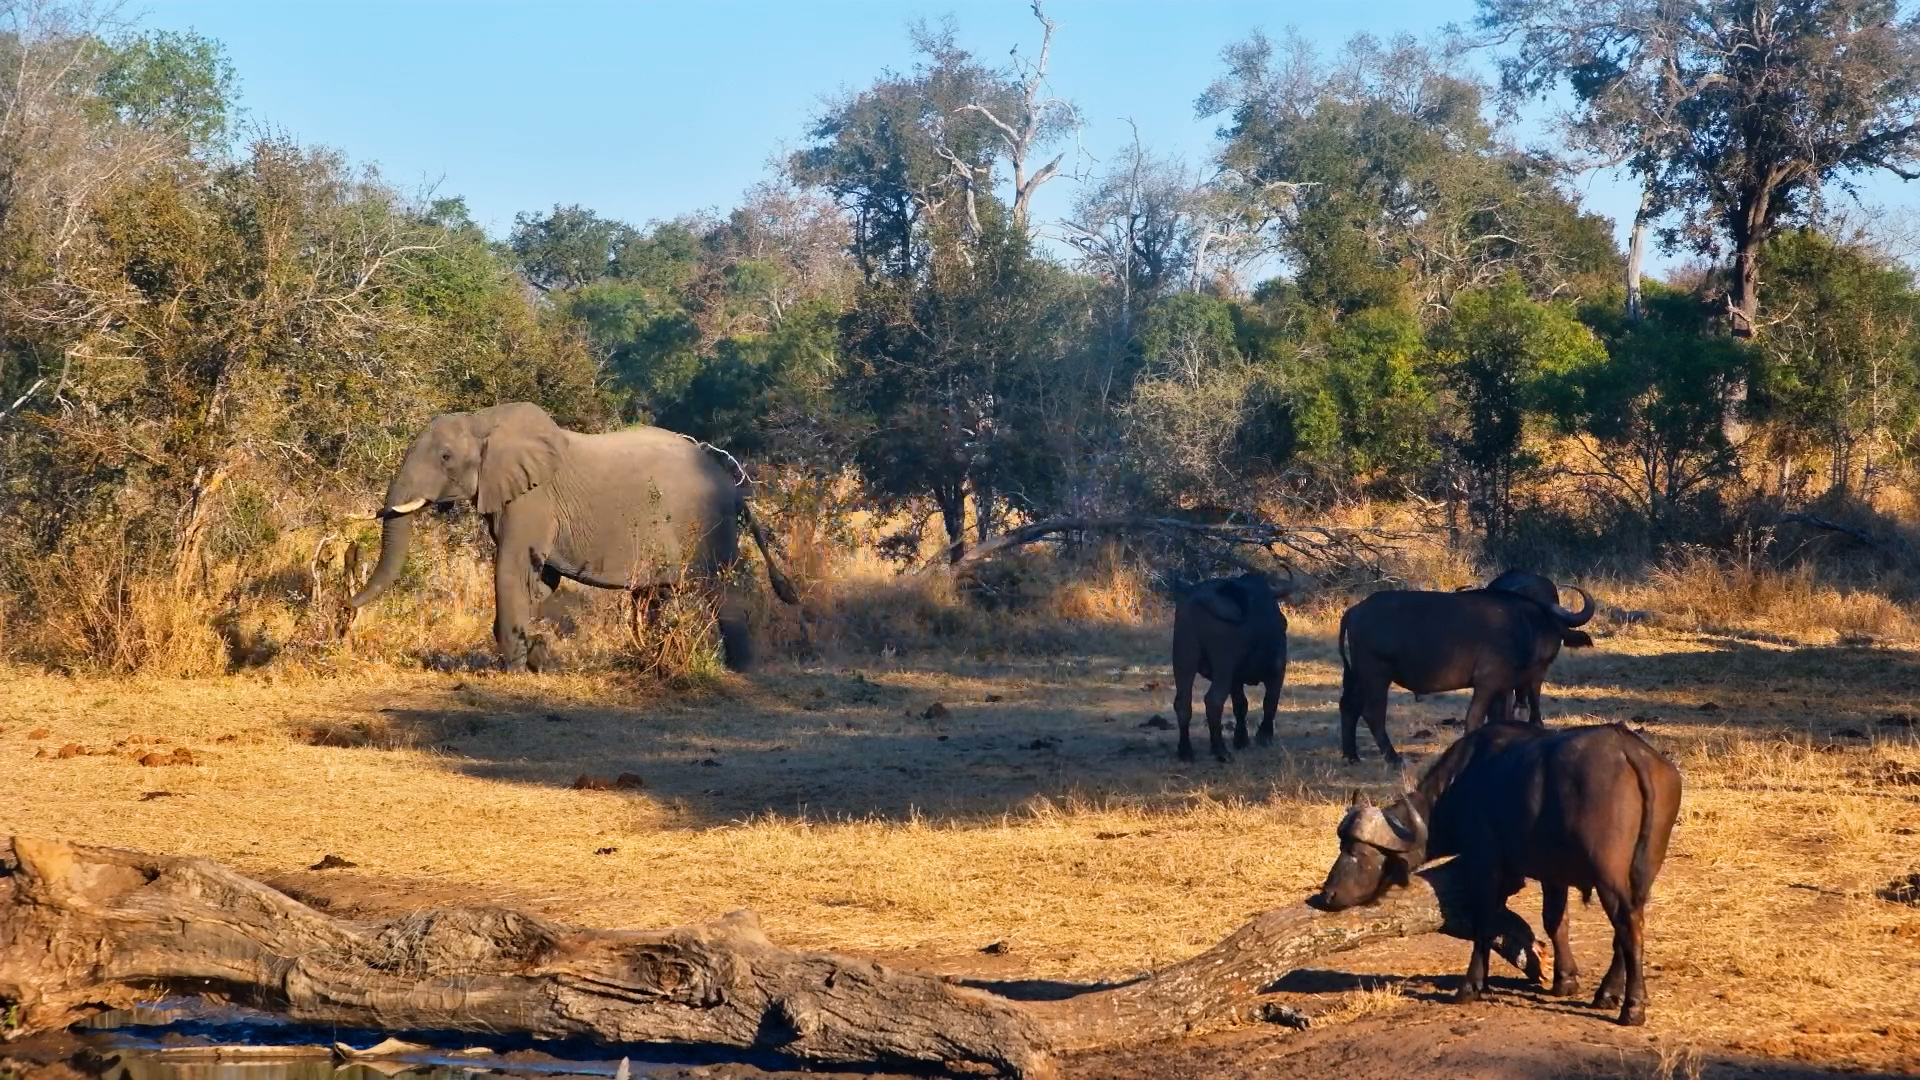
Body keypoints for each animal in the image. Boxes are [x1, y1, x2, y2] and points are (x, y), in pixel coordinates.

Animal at [348, 402, 797, 671]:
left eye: (444, 458)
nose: (344, 609)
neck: (485, 420)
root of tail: (735, 488)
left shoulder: (532, 500)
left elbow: (512, 568)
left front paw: (513, 669)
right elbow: (538, 581)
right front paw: (537, 658)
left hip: (708, 525)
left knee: (723, 592)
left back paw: (742, 669)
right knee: (653, 597)